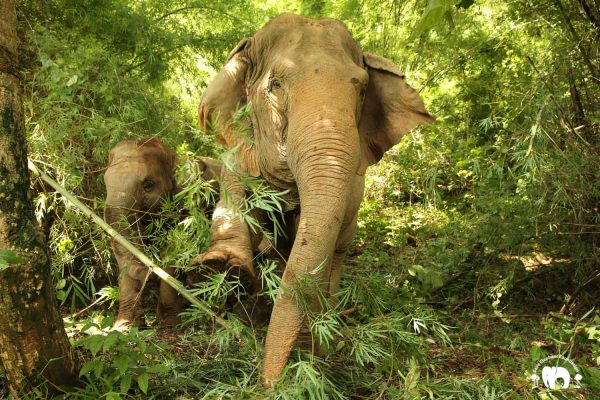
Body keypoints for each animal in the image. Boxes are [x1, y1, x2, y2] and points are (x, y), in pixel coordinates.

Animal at [103, 139, 220, 326]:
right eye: (105, 183)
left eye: (148, 185)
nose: (149, 274)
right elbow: (122, 253)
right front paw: (123, 327)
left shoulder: (190, 206)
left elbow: (175, 249)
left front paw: (170, 322)